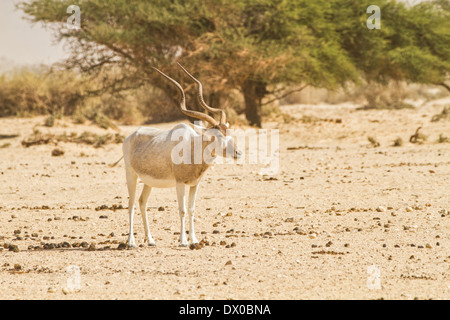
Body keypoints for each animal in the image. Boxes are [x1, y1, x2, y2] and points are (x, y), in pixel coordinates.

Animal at [119, 63, 241, 248]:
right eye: (217, 136)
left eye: (229, 132)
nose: (237, 153)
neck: (193, 147)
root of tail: (132, 135)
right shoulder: (179, 183)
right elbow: (182, 210)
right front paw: (183, 241)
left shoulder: (194, 184)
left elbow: (191, 209)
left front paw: (194, 239)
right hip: (131, 175)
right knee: (131, 204)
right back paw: (131, 241)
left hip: (148, 182)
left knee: (142, 202)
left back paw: (151, 240)